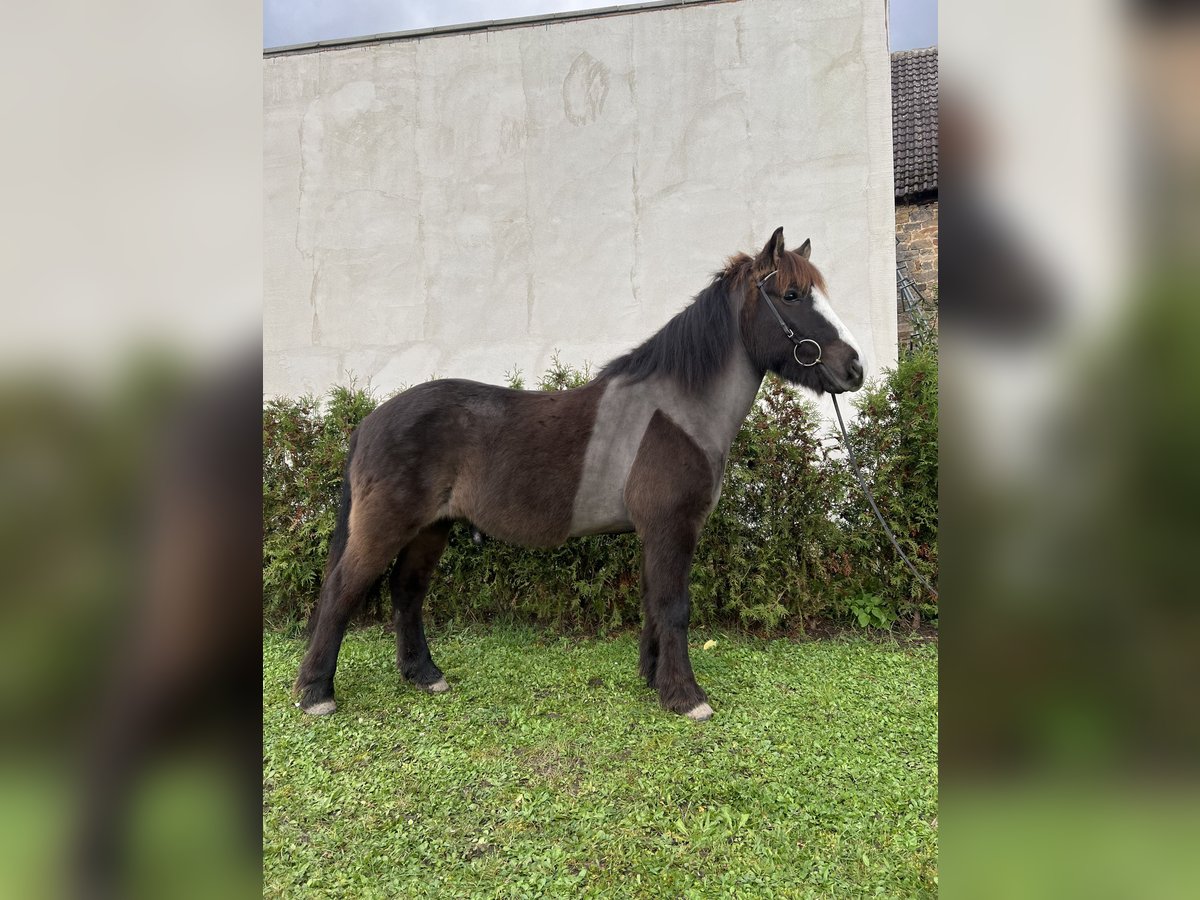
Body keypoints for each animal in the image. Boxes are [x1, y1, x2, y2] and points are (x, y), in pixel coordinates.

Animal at [297, 229, 864, 724]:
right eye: (792, 294)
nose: (854, 369)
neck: (674, 412)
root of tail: (369, 422)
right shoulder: (672, 527)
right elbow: (674, 606)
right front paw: (686, 697)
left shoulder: (654, 533)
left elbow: (653, 603)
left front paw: (653, 678)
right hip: (386, 525)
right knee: (342, 590)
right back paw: (316, 693)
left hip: (430, 529)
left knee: (407, 591)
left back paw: (424, 674)